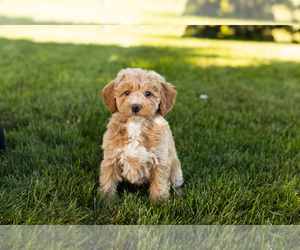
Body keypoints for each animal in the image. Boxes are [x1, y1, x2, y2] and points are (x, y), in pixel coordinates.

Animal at [99, 68, 183, 201]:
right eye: (127, 92)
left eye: (148, 93)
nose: (136, 106)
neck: (136, 124)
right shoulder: (111, 158)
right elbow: (108, 180)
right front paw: (106, 201)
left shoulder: (160, 160)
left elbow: (159, 184)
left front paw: (159, 203)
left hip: (175, 168)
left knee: (176, 183)